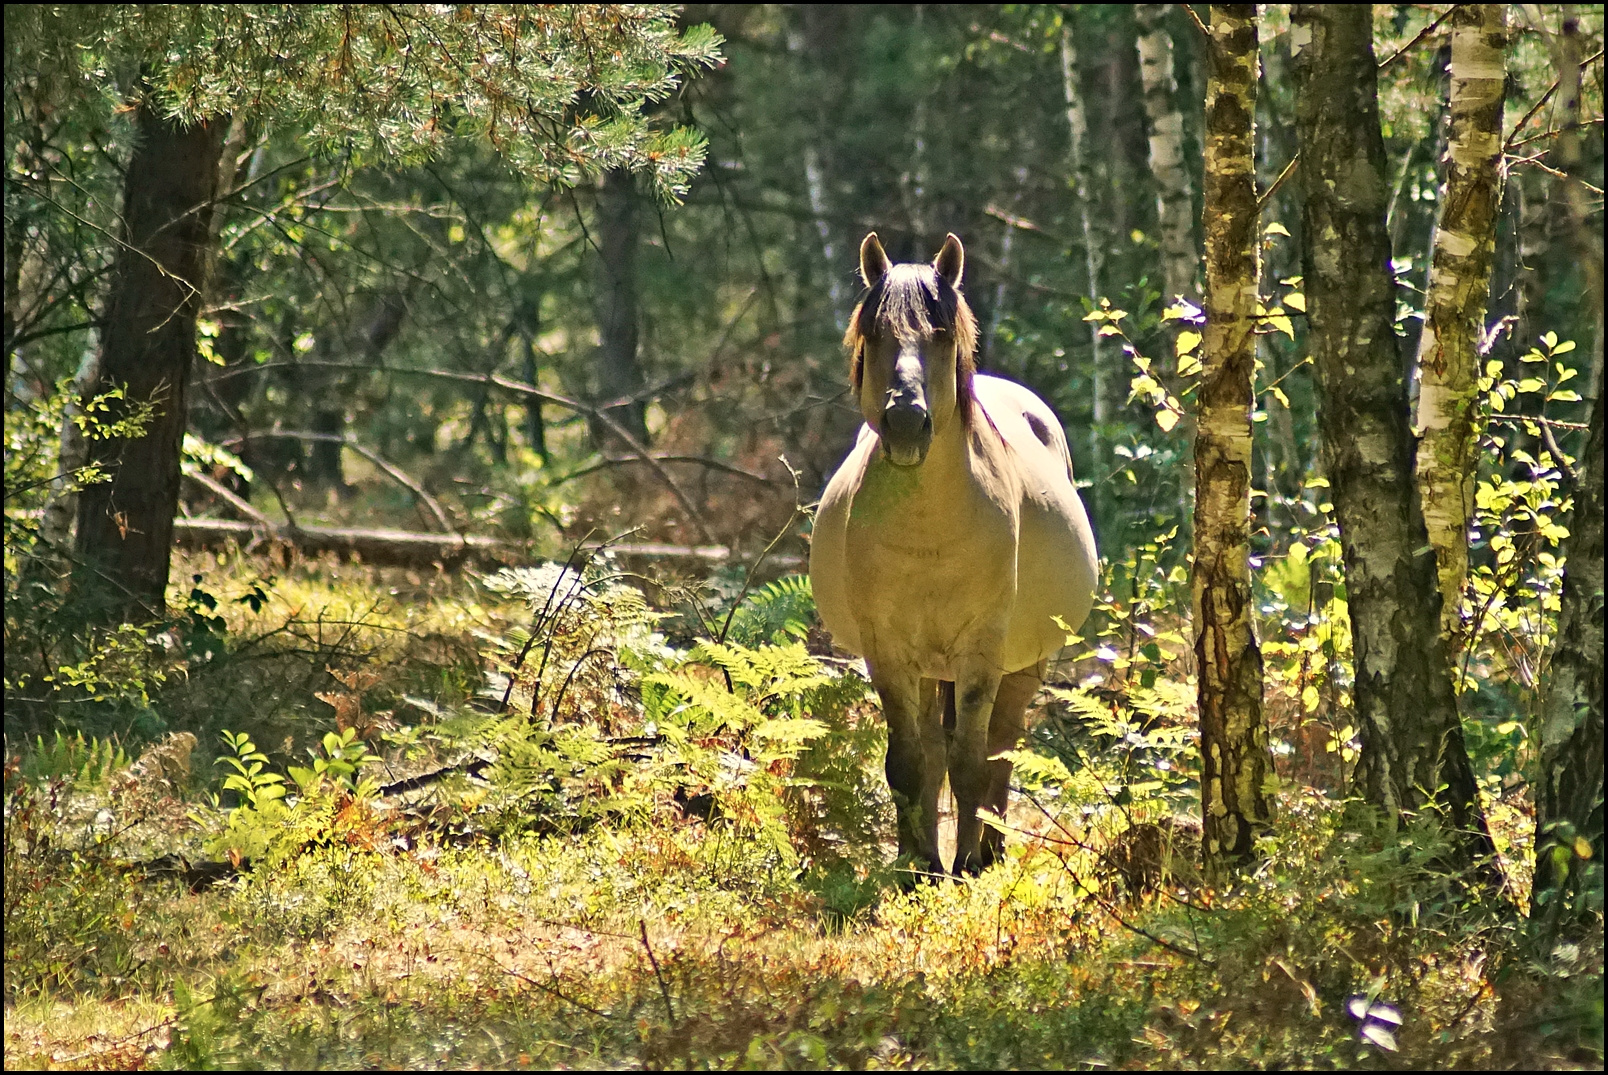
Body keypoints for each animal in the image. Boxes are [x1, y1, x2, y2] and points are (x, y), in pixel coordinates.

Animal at [810, 231, 1099, 874]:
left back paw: (989, 850)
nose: (904, 422)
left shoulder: (981, 652)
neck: (930, 534)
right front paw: (917, 868)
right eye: (876, 332)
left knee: (999, 748)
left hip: (1024, 664)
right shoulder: (888, 651)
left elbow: (972, 763)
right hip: (925, 668)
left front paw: (966, 864)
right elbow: (907, 763)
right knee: (933, 750)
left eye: (941, 334)